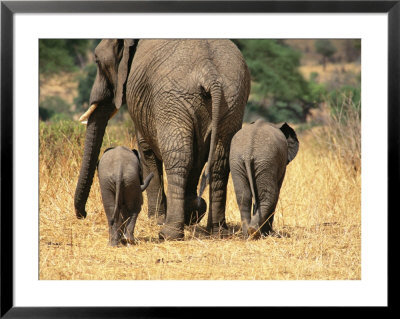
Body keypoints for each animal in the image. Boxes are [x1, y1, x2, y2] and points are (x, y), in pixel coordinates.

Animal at [74, 39, 250, 240]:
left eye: (97, 61)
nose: (83, 214)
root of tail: (210, 74)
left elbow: (146, 150)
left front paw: (156, 219)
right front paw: (192, 212)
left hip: (172, 101)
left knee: (179, 157)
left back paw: (168, 233)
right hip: (231, 102)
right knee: (219, 160)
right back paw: (217, 231)